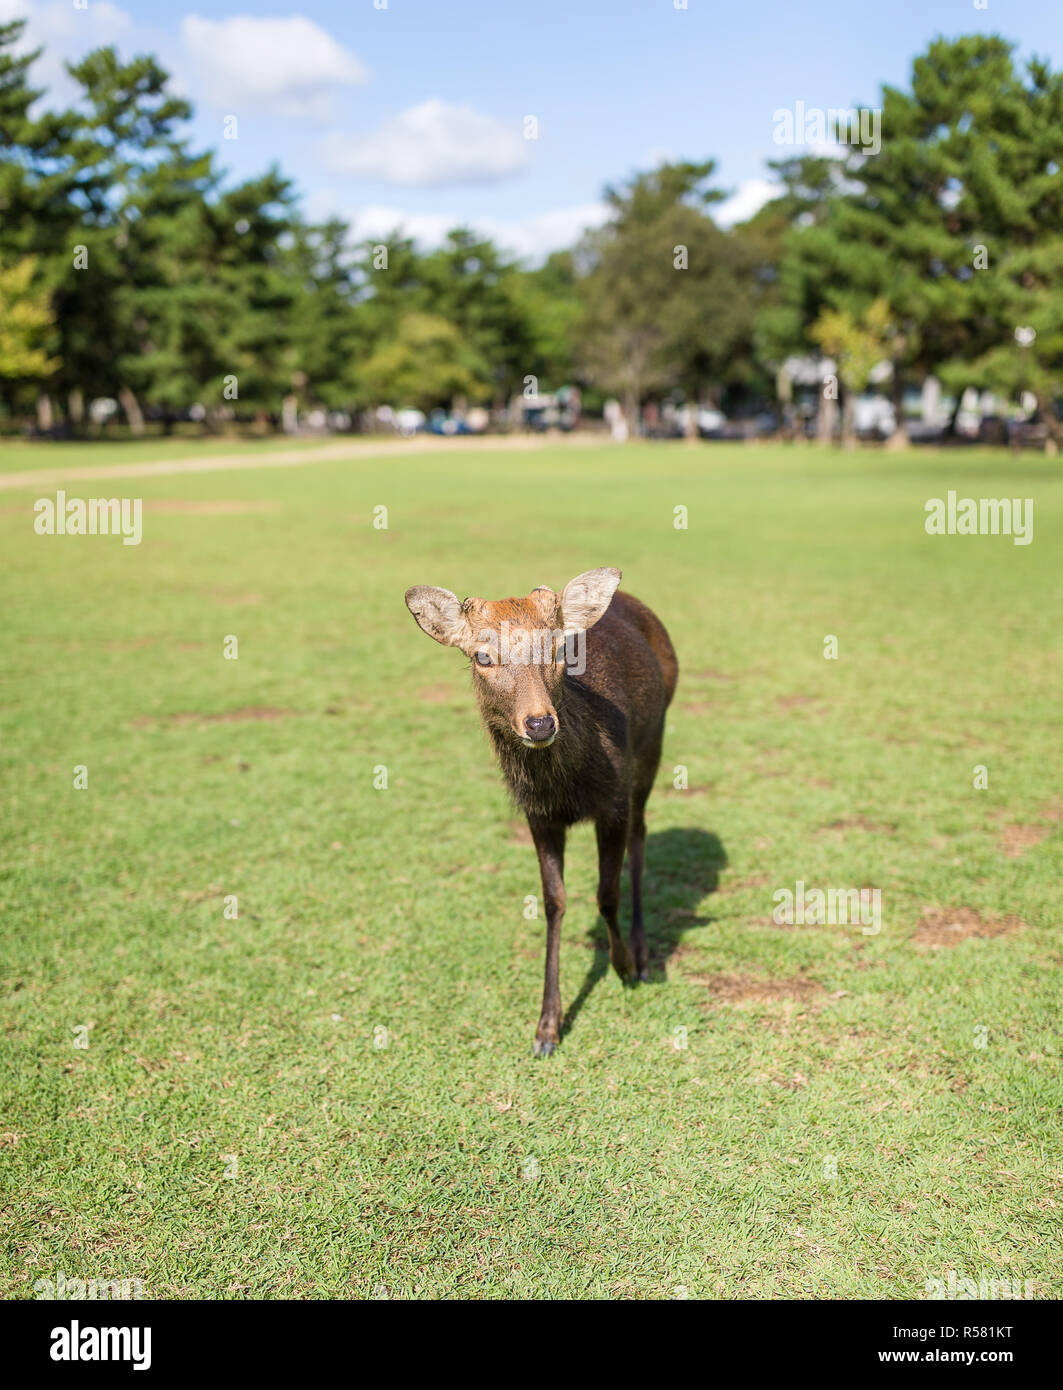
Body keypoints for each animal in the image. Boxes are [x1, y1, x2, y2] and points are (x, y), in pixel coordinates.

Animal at [404, 567, 678, 1055]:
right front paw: (546, 1028)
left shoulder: (614, 802)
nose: (539, 723)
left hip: (651, 751)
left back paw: (645, 956)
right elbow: (554, 901)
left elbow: (607, 893)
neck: (568, 787)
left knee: (642, 840)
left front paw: (624, 966)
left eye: (560, 650)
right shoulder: (538, 816)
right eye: (482, 656)